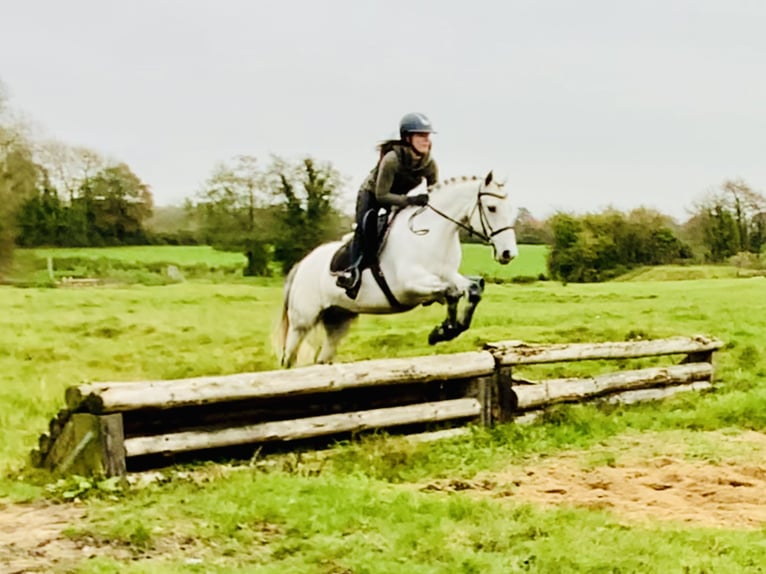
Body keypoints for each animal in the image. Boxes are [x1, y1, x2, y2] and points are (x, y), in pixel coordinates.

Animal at [272, 171, 520, 368]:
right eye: (492, 208)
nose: (508, 253)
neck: (432, 233)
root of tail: (301, 265)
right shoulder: (410, 285)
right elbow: (452, 292)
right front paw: (443, 330)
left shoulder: (448, 275)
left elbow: (471, 288)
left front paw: (446, 330)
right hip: (302, 322)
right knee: (288, 358)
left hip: (338, 319)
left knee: (323, 358)